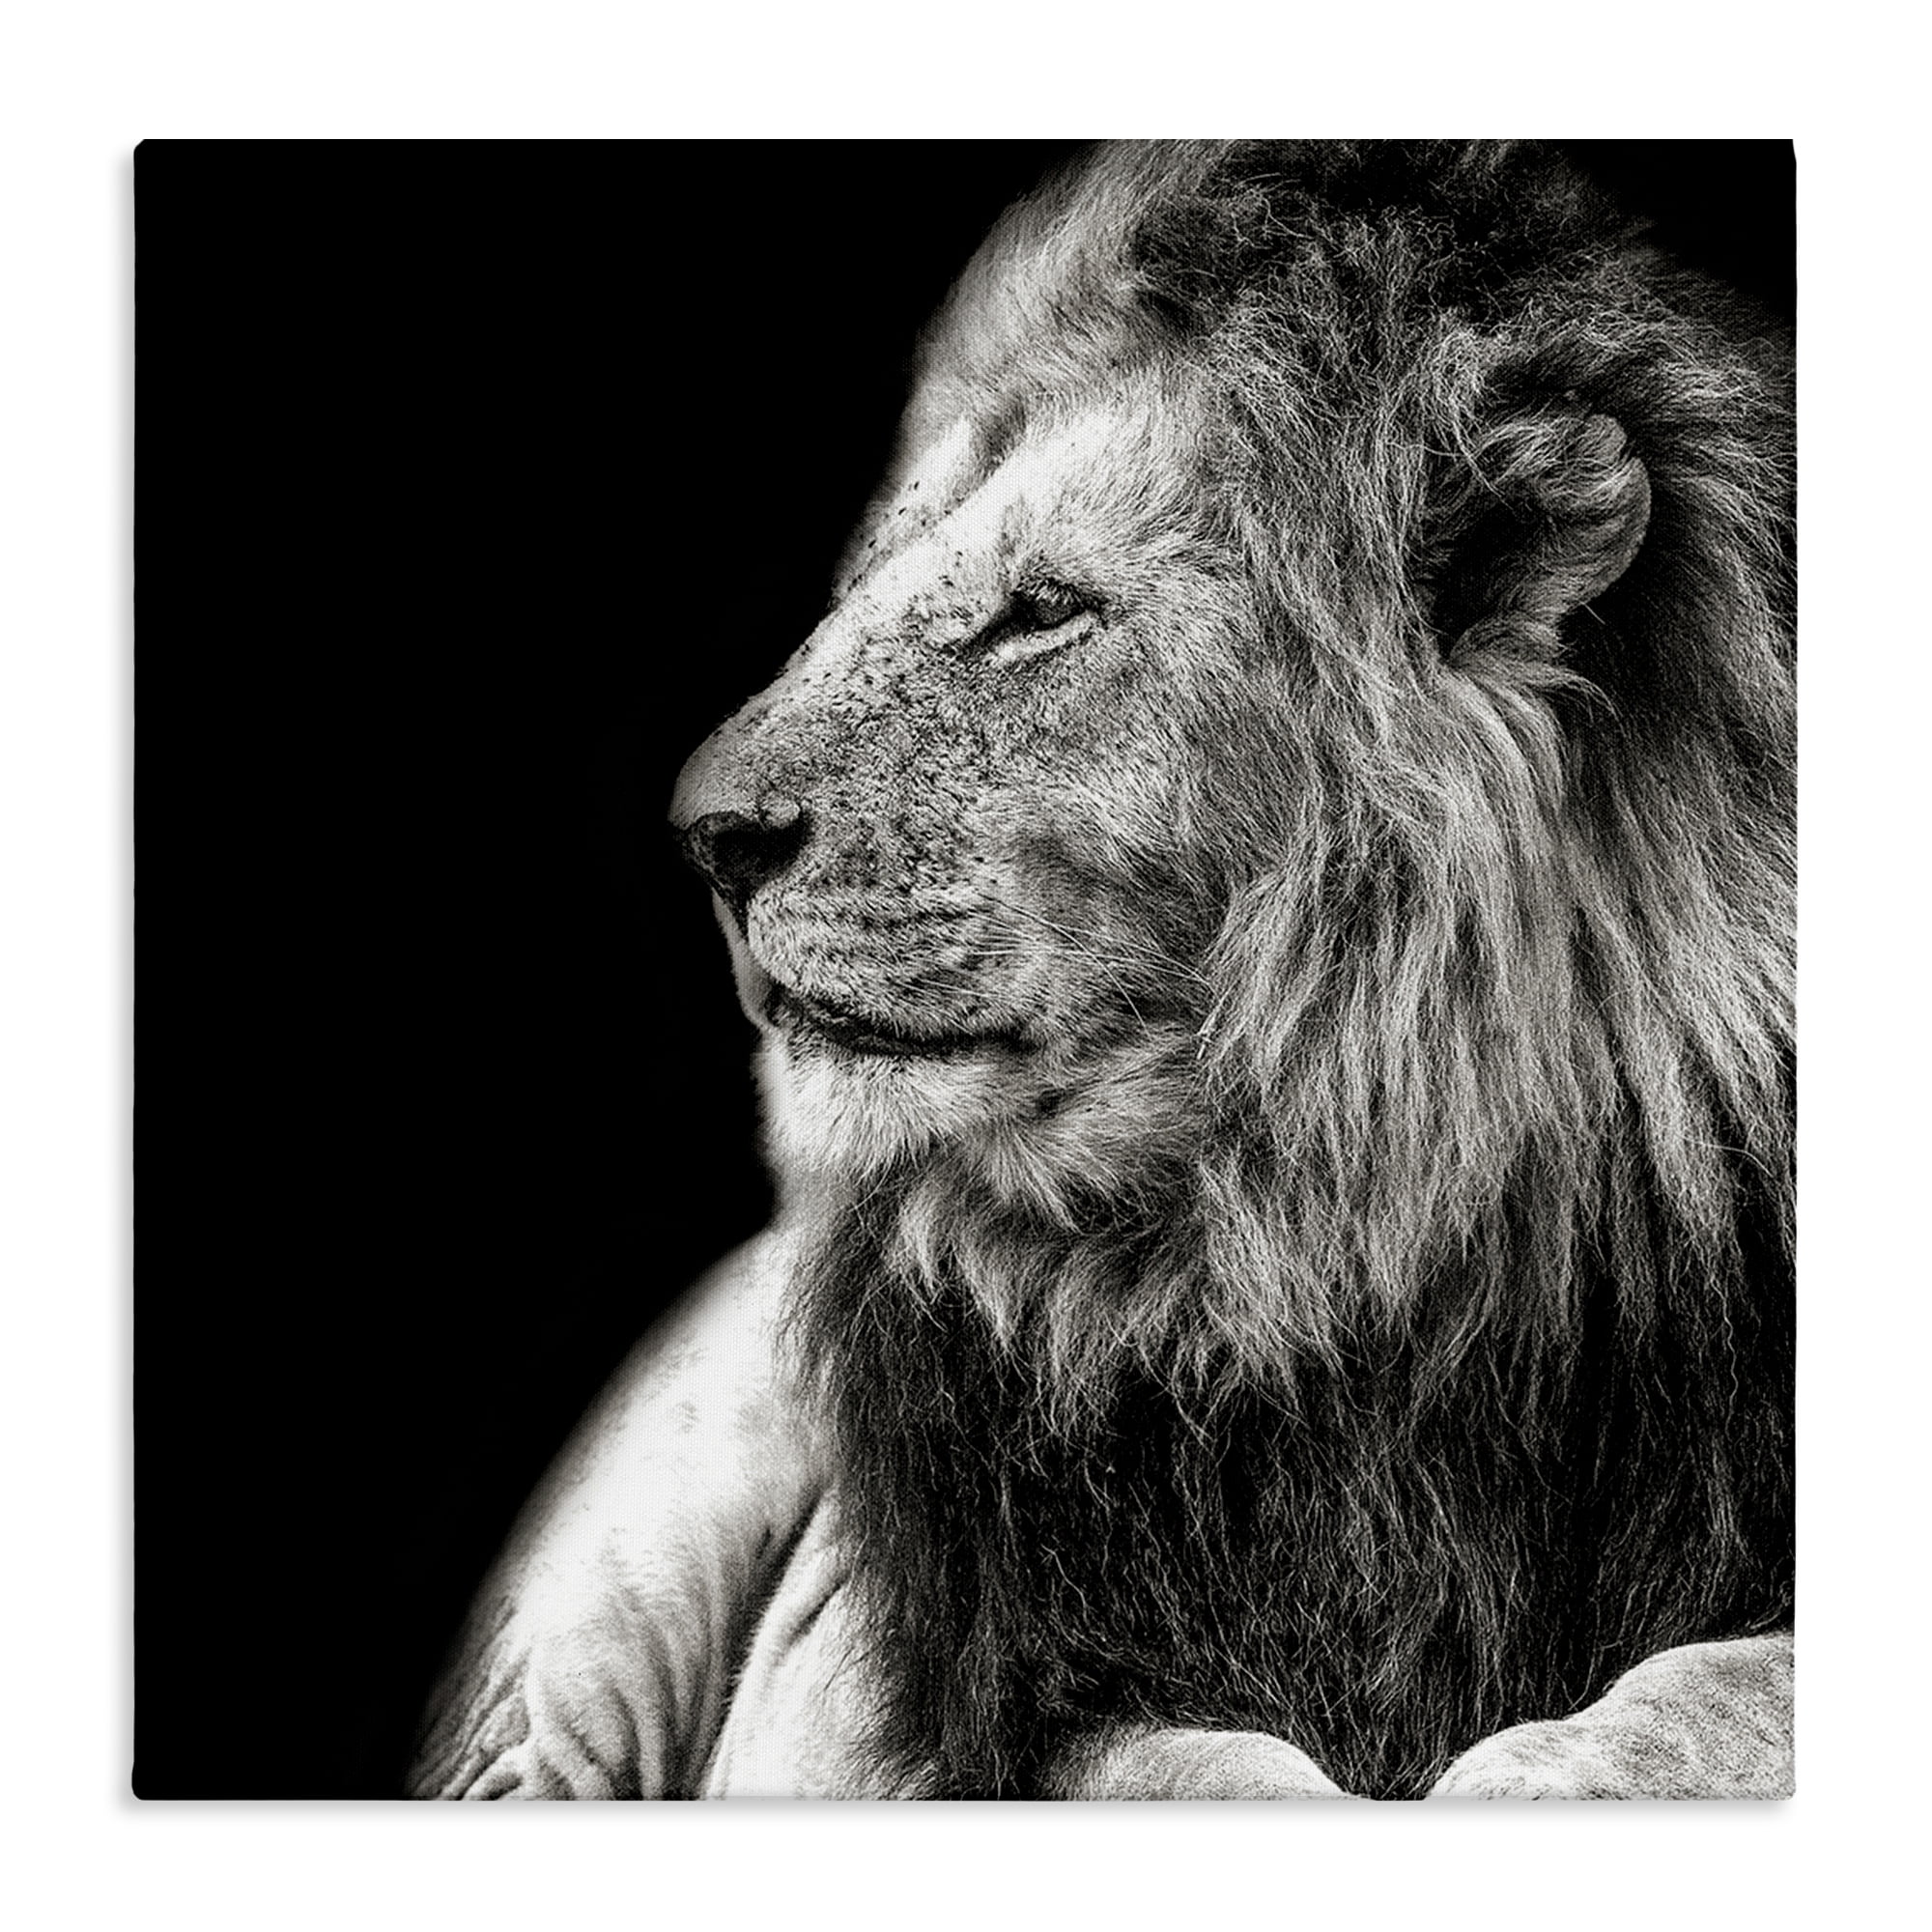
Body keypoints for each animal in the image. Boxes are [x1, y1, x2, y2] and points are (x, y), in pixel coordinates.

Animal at [411, 141, 1794, 1800]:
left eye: (1041, 612)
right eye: (871, 584)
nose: (706, 837)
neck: (1330, 1251)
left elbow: (1711, 1689)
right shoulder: (1012, 1690)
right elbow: (1195, 1770)